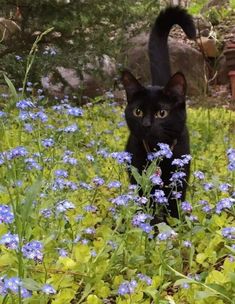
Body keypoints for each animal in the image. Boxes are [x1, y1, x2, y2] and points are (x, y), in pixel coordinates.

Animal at [121, 5, 196, 220]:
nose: (146, 124)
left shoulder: (179, 179)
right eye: (138, 112)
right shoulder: (138, 178)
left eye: (162, 113)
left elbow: (175, 209)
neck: (158, 154)